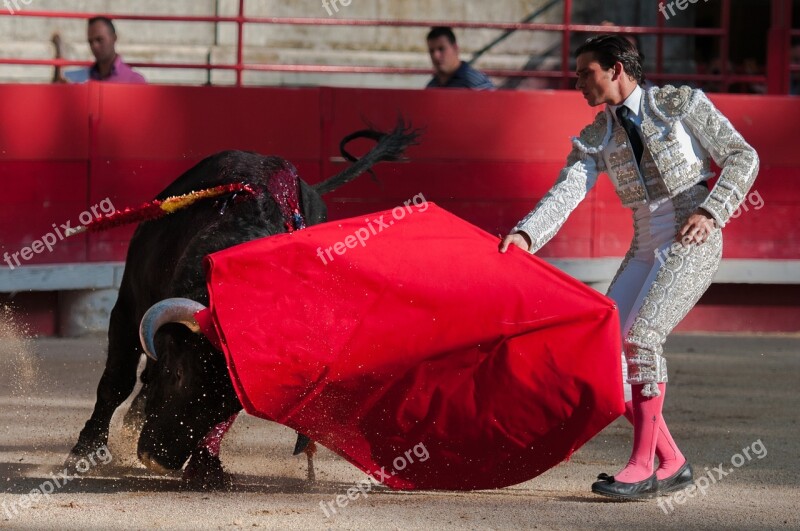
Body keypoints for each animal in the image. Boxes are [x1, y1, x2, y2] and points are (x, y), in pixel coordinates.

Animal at [68, 121, 418, 486]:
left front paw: (206, 466)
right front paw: (85, 452)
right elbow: (116, 381)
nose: (159, 459)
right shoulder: (127, 307)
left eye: (231, 407)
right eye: (178, 374)